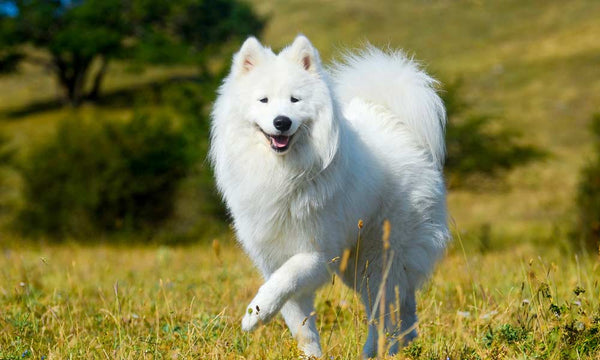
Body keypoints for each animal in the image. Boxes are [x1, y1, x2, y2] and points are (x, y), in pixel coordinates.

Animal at [211, 35, 450, 358]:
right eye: (263, 100)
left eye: (294, 100)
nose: (282, 121)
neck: (283, 173)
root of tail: (396, 123)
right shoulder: (272, 256)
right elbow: (301, 325)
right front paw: (307, 351)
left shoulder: (317, 253)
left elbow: (285, 280)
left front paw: (255, 314)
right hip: (360, 267)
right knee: (404, 308)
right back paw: (401, 343)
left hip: (377, 260)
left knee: (385, 314)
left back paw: (375, 351)